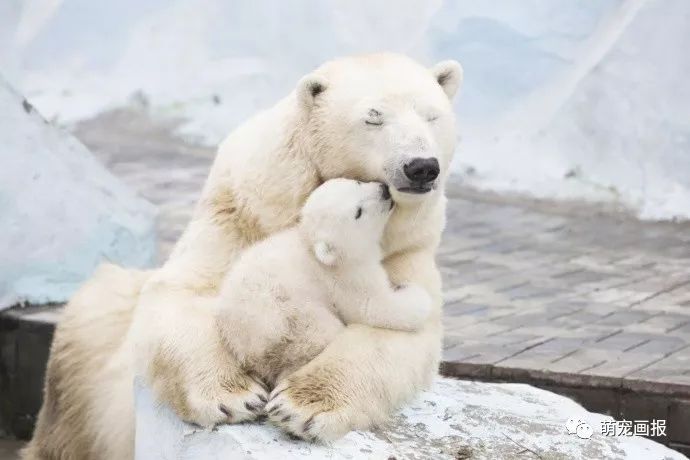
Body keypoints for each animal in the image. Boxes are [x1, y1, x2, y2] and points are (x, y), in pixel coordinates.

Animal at [24, 52, 462, 458]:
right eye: (373, 119)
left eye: (432, 116)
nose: (421, 166)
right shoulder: (239, 213)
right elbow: (189, 292)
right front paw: (234, 396)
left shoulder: (406, 246)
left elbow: (398, 330)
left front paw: (301, 406)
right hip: (86, 364)